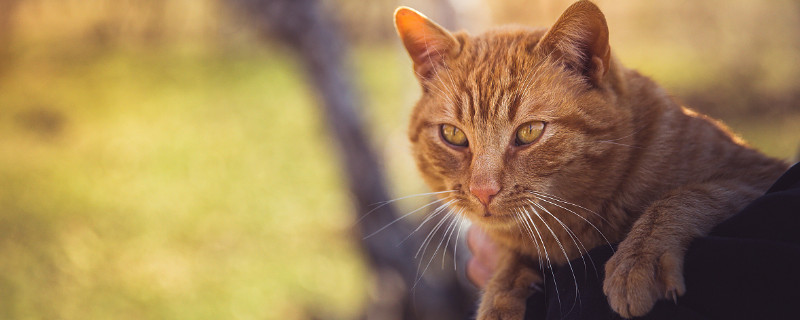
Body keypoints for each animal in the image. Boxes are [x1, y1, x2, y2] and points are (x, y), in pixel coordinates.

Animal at [394, 1, 788, 318]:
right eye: (453, 135)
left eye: (529, 132)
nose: (483, 191)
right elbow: (510, 258)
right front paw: (500, 295)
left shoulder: (755, 174)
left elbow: (683, 198)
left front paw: (637, 259)